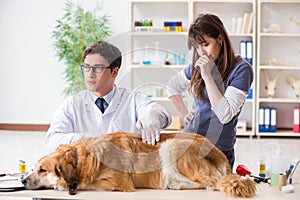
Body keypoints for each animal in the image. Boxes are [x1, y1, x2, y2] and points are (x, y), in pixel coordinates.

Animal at [21, 132, 255, 198]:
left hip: (173, 145)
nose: (22, 179)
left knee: (211, 182)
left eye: (43, 170)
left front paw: (62, 185)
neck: (81, 158)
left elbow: (89, 183)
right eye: (33, 166)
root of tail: (219, 155)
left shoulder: (118, 182)